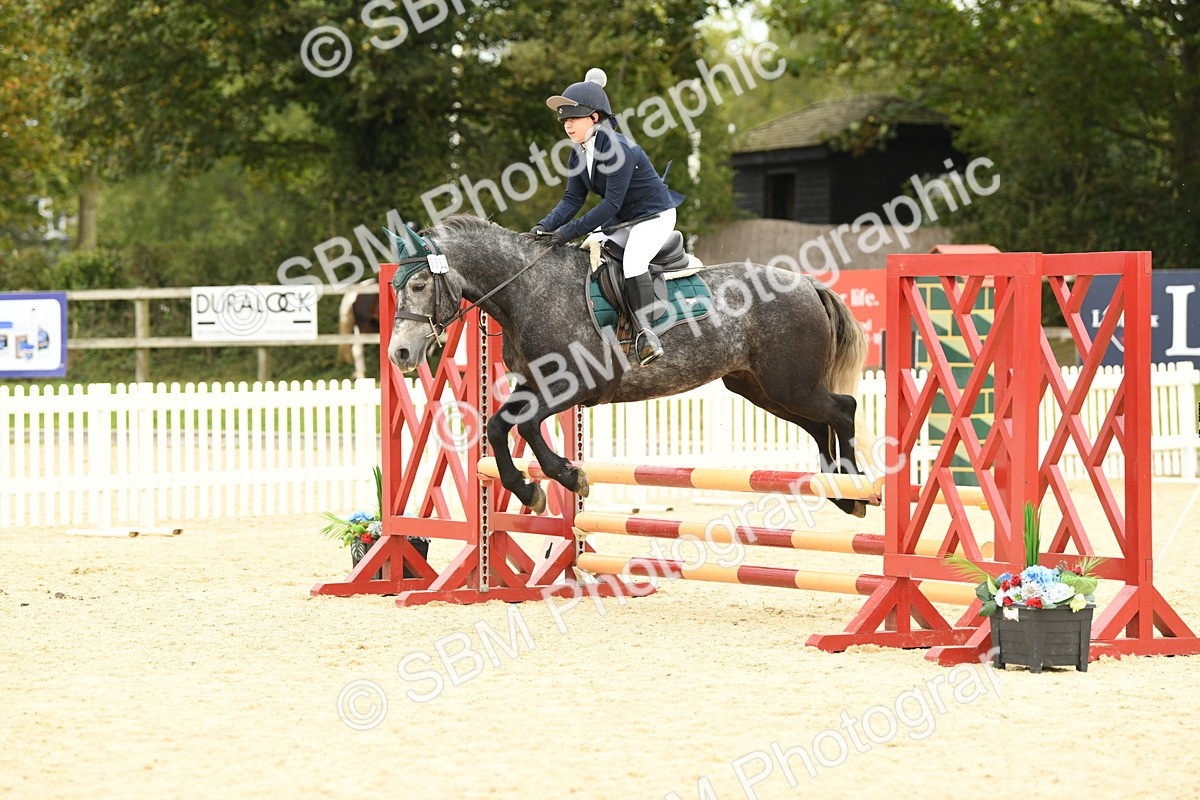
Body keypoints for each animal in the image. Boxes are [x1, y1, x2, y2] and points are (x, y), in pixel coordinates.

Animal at [386, 215, 874, 517]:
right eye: (394, 287)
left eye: (418, 284)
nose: (400, 355)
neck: (528, 290)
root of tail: (807, 283)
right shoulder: (534, 385)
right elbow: (497, 425)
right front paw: (531, 489)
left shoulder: (572, 387)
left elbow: (523, 427)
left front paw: (569, 477)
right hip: (760, 387)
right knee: (819, 423)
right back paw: (841, 493)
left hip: (790, 383)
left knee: (843, 409)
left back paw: (856, 488)